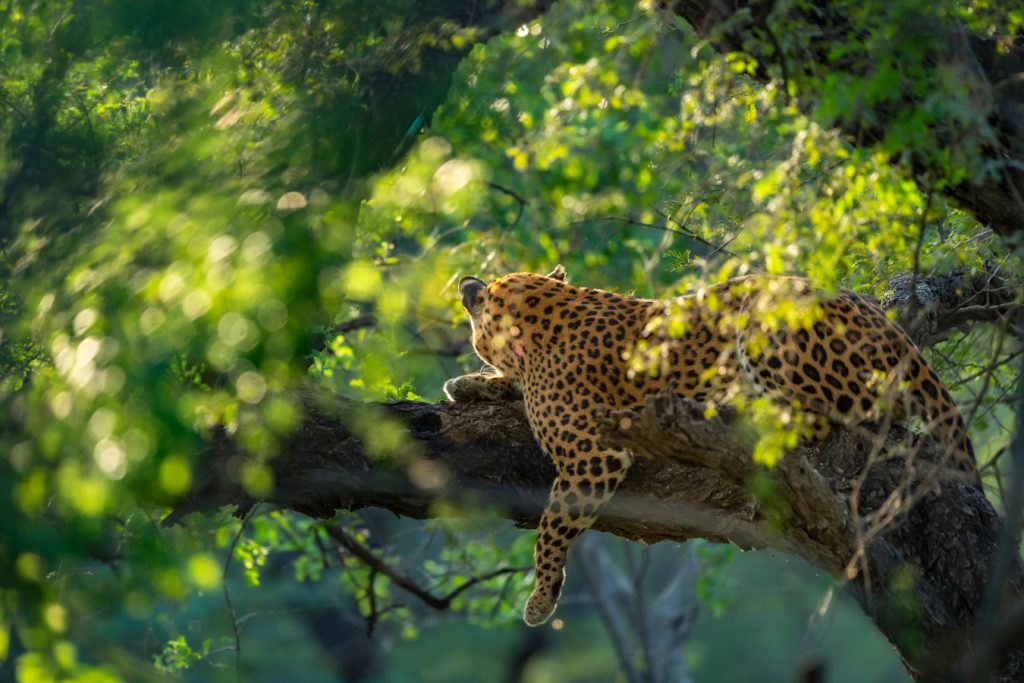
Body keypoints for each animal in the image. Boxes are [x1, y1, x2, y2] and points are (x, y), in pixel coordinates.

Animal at [444, 264, 978, 626]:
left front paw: (540, 598)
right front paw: (465, 384)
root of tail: (891, 328)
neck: (550, 310)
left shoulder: (592, 456)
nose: (467, 285)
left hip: (769, 328)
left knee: (833, 415)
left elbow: (551, 528)